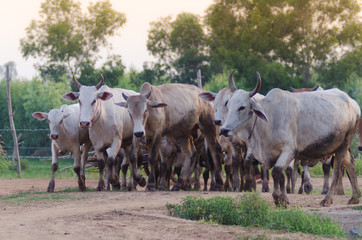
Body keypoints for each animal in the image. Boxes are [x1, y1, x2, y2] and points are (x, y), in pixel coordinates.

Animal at [221, 72, 360, 207]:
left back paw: (328, 199)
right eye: (228, 104)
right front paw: (284, 198)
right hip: (339, 145)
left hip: (344, 143)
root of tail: (352, 102)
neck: (269, 119)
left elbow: (276, 172)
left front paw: (278, 198)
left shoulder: (289, 151)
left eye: (242, 107)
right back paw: (355, 197)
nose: (223, 130)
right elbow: (282, 176)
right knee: (350, 164)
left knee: (336, 170)